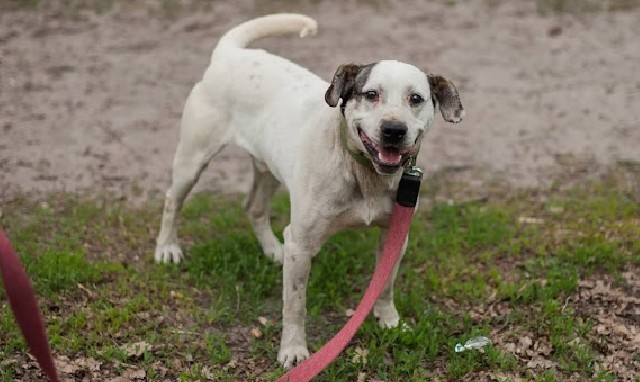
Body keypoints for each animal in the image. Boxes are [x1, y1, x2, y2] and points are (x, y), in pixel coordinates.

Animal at [155, 13, 464, 368]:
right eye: (371, 94)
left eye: (416, 99)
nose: (393, 130)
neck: (361, 172)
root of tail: (230, 53)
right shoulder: (301, 245)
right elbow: (295, 306)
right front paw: (293, 351)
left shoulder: (395, 235)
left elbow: (385, 284)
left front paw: (389, 319)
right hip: (192, 159)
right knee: (172, 200)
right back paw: (167, 248)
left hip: (267, 166)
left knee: (254, 207)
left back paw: (272, 249)